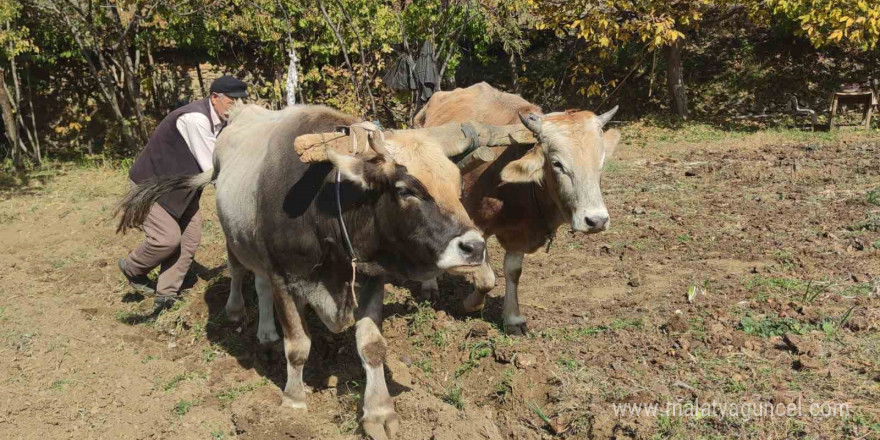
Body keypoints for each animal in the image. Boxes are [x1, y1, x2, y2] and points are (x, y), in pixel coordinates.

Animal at [412, 81, 620, 334]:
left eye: (601, 163)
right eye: (557, 163)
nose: (596, 221)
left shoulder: (518, 234)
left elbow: (512, 272)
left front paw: (512, 318)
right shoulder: (473, 223)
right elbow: (487, 279)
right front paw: (470, 305)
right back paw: (429, 285)